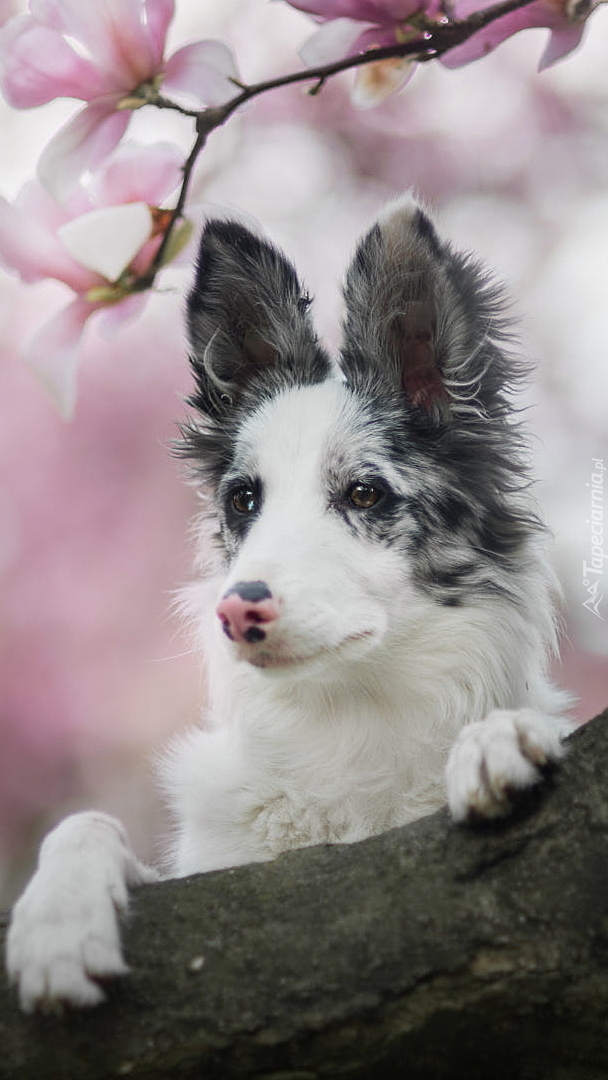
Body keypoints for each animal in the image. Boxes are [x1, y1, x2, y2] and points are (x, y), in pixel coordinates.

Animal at [5, 196, 570, 1010]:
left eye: (363, 492)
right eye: (245, 499)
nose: (238, 612)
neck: (350, 720)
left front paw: (499, 736)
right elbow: (83, 823)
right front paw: (58, 924)